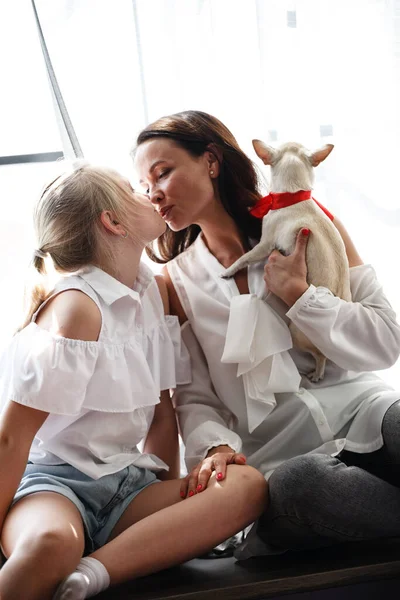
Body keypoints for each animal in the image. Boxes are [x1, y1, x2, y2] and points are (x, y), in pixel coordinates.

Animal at [222, 141, 350, 380]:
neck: (293, 196)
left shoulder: (264, 245)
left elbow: (244, 258)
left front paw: (228, 270)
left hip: (296, 332)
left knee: (320, 356)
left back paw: (316, 373)